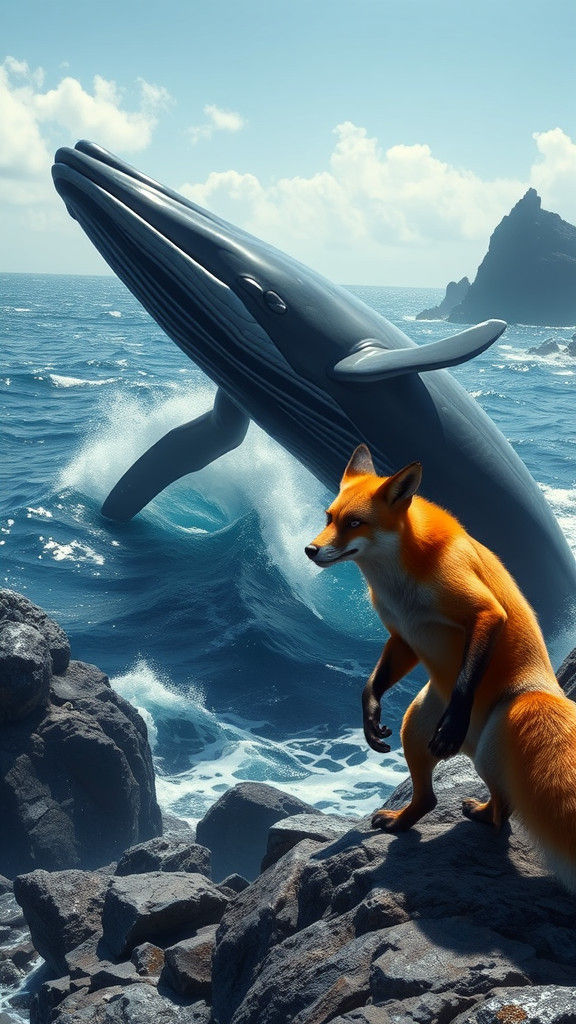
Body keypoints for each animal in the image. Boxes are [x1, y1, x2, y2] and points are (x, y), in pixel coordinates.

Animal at [305, 443, 576, 890]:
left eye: (355, 523)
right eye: (329, 517)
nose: (310, 550)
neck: (399, 581)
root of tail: (542, 691)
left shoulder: (484, 611)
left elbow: (469, 671)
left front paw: (452, 723)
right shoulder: (403, 636)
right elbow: (372, 685)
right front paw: (369, 713)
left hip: (487, 743)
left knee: (505, 808)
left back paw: (476, 801)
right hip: (415, 725)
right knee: (434, 798)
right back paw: (406, 820)